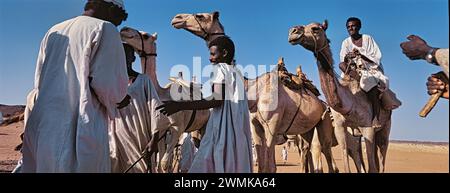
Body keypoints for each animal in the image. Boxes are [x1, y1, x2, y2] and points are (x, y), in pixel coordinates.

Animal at [119, 26, 211, 172]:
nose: (124, 29)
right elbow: (160, 163)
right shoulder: (162, 130)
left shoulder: (178, 128)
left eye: (146, 36)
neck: (162, 95)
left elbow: (164, 162)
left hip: (205, 124)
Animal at [173, 12, 342, 173]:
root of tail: (322, 102)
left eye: (200, 15)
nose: (177, 18)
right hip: (305, 129)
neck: (254, 90)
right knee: (307, 152)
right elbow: (262, 165)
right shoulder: (256, 127)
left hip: (323, 121)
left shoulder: (272, 125)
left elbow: (270, 166)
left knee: (326, 152)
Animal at [288, 21, 398, 173]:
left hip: (385, 127)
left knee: (380, 157)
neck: (349, 103)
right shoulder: (340, 128)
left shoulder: (368, 128)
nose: (293, 31)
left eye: (315, 28)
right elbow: (345, 165)